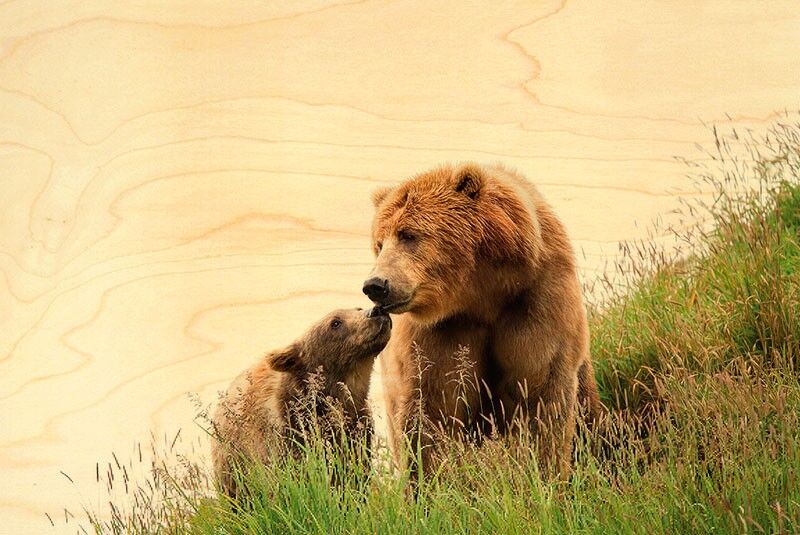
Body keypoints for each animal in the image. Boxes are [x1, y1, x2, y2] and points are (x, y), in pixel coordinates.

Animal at [362, 162, 600, 479]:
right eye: (379, 243)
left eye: (408, 235)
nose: (376, 285)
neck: (480, 294)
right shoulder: (440, 333)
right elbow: (431, 410)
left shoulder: (536, 302)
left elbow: (540, 396)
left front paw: (543, 472)